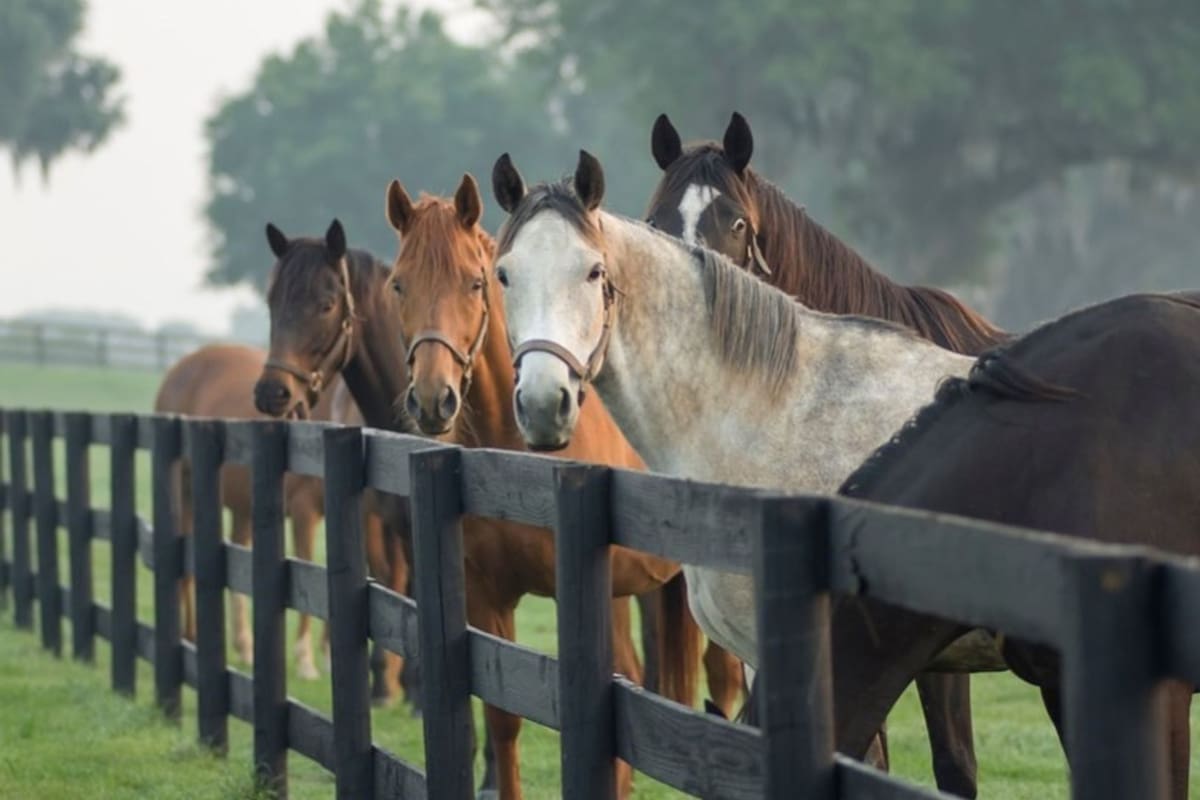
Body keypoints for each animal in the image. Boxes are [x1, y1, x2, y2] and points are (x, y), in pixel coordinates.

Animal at [383, 175, 741, 797]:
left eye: (474, 282)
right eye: (399, 283)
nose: (432, 399)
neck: (516, 463)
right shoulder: (487, 597)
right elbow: (503, 718)